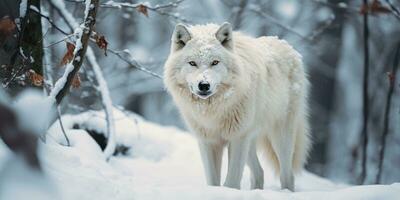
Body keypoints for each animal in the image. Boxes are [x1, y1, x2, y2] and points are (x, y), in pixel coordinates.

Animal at [164, 21, 310, 191]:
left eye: (215, 62)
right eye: (192, 63)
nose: (204, 85)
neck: (214, 111)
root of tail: (287, 46)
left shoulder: (237, 138)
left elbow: (232, 182)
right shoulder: (208, 142)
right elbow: (213, 182)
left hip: (280, 138)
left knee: (287, 175)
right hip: (250, 140)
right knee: (259, 172)